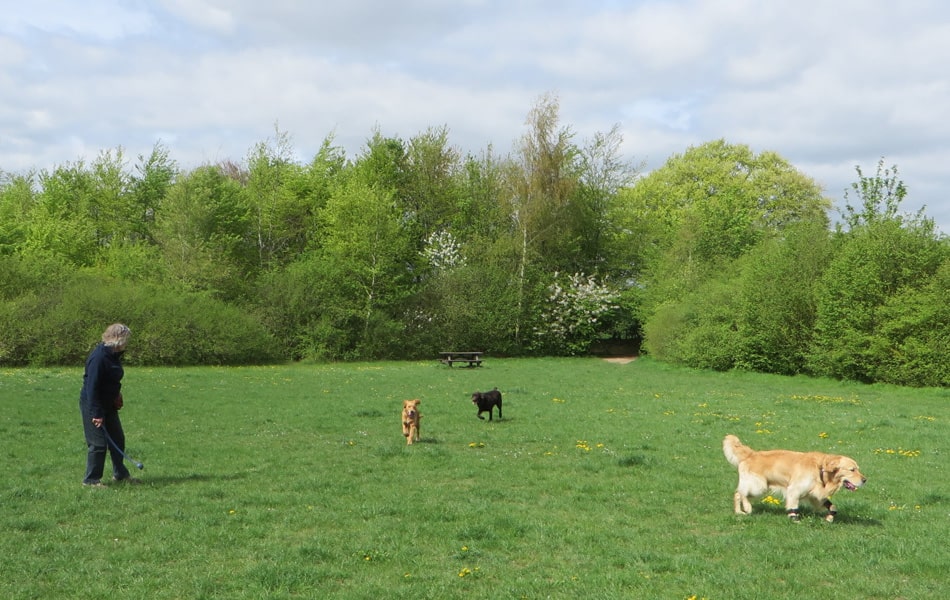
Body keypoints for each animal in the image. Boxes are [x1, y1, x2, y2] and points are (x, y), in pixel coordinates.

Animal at [724, 434, 868, 524]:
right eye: (852, 470)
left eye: (858, 469)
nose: (865, 480)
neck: (821, 470)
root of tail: (751, 453)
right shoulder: (794, 489)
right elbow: (793, 507)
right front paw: (795, 519)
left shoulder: (815, 495)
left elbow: (832, 506)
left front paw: (829, 518)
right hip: (759, 486)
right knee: (741, 493)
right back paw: (747, 508)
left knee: (737, 493)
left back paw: (739, 512)